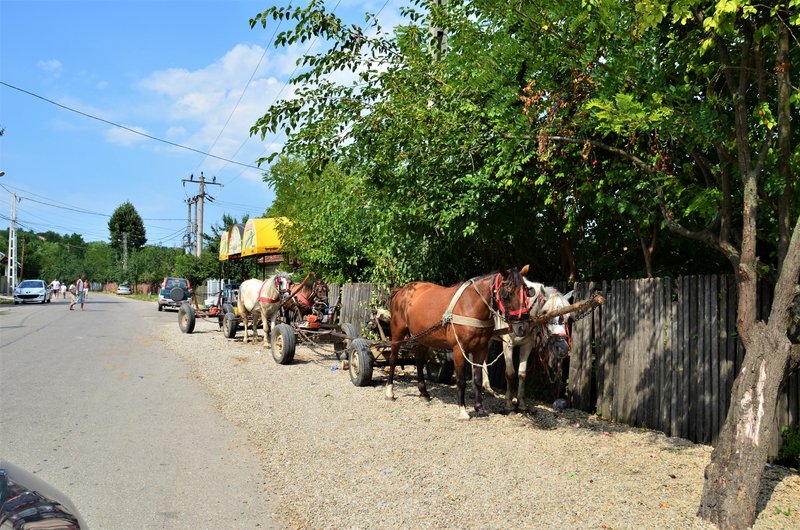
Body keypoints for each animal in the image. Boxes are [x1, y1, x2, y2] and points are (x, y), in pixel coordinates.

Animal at [388, 266, 532, 418]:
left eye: (526, 291)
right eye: (507, 294)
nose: (522, 327)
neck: (471, 306)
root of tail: (402, 290)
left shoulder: (481, 349)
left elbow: (477, 379)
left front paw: (479, 408)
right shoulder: (459, 349)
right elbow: (461, 380)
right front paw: (462, 410)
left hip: (423, 337)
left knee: (419, 360)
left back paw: (423, 392)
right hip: (397, 332)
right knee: (393, 359)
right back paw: (390, 392)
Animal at [484, 280, 572, 408]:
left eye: (568, 316)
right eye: (545, 312)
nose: (562, 348)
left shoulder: (527, 345)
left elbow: (522, 373)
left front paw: (521, 403)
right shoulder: (508, 344)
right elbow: (510, 373)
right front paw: (509, 403)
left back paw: (486, 387)